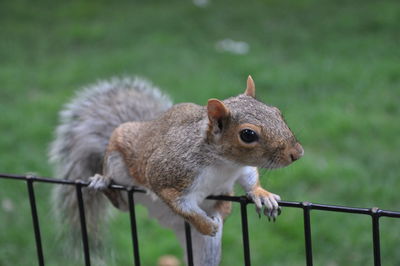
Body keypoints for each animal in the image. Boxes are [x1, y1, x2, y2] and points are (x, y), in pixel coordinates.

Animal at [49, 75, 304, 266]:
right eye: (248, 135)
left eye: (277, 112)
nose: (297, 153)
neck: (223, 164)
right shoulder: (170, 176)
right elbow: (182, 205)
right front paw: (206, 225)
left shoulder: (240, 169)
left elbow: (251, 178)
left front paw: (263, 195)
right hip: (118, 161)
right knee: (121, 203)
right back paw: (102, 182)